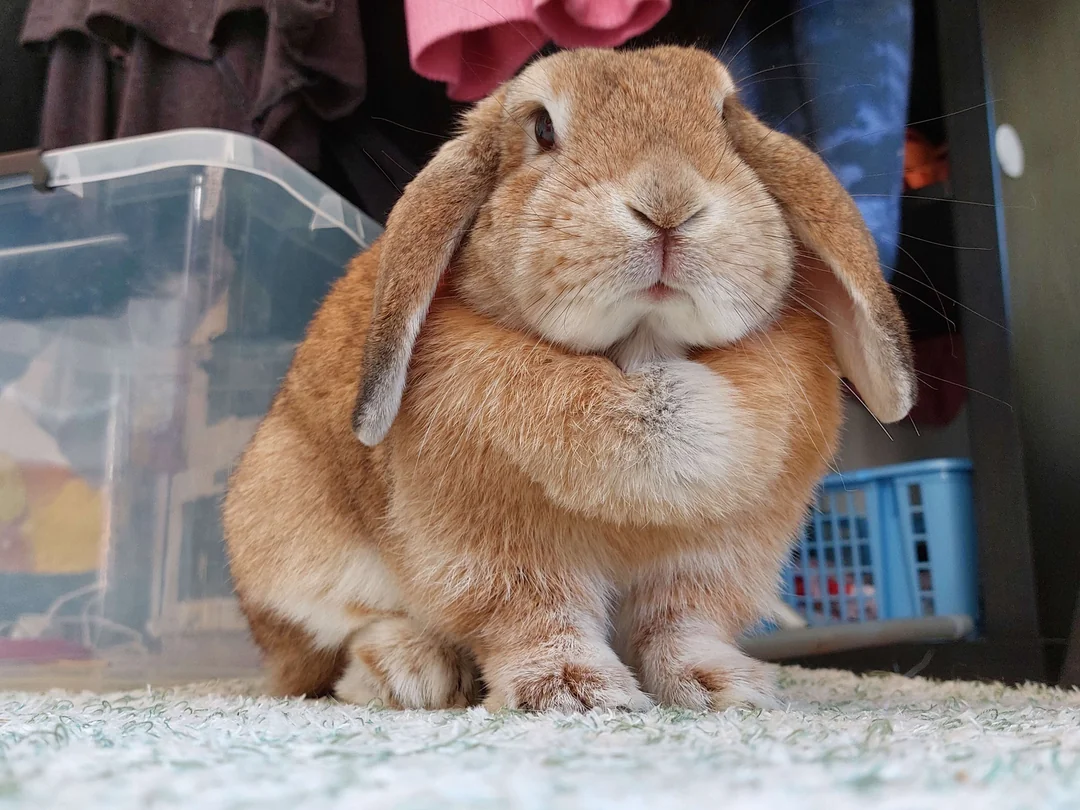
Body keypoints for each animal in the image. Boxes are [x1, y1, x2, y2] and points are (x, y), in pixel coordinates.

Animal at [223, 46, 914, 712]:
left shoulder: (710, 560)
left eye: (725, 119)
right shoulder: (501, 555)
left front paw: (726, 689)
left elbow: (682, 627)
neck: (641, 355)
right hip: (288, 533)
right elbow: (538, 620)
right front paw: (575, 693)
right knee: (341, 646)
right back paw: (413, 675)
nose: (668, 204)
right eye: (542, 128)